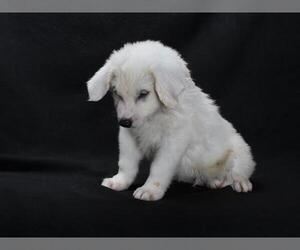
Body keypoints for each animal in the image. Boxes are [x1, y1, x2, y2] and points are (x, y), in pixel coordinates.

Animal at [86, 41, 255, 201]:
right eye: (117, 93)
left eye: (143, 93)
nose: (124, 122)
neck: (154, 116)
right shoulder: (128, 137)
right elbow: (126, 164)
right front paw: (119, 182)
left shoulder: (173, 142)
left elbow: (159, 168)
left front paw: (149, 190)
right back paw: (215, 182)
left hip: (241, 150)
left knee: (238, 172)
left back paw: (240, 183)